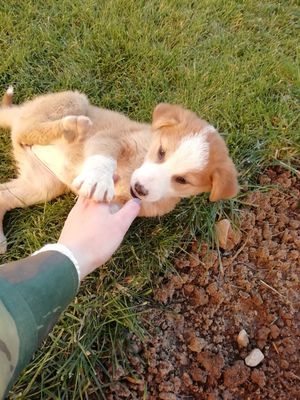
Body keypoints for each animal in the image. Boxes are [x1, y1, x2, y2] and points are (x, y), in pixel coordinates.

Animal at [0, 88, 239, 252]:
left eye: (182, 180)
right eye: (161, 152)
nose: (140, 189)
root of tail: (19, 112)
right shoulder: (114, 138)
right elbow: (104, 155)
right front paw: (97, 179)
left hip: (42, 185)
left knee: (4, 194)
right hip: (73, 101)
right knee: (32, 129)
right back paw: (72, 127)